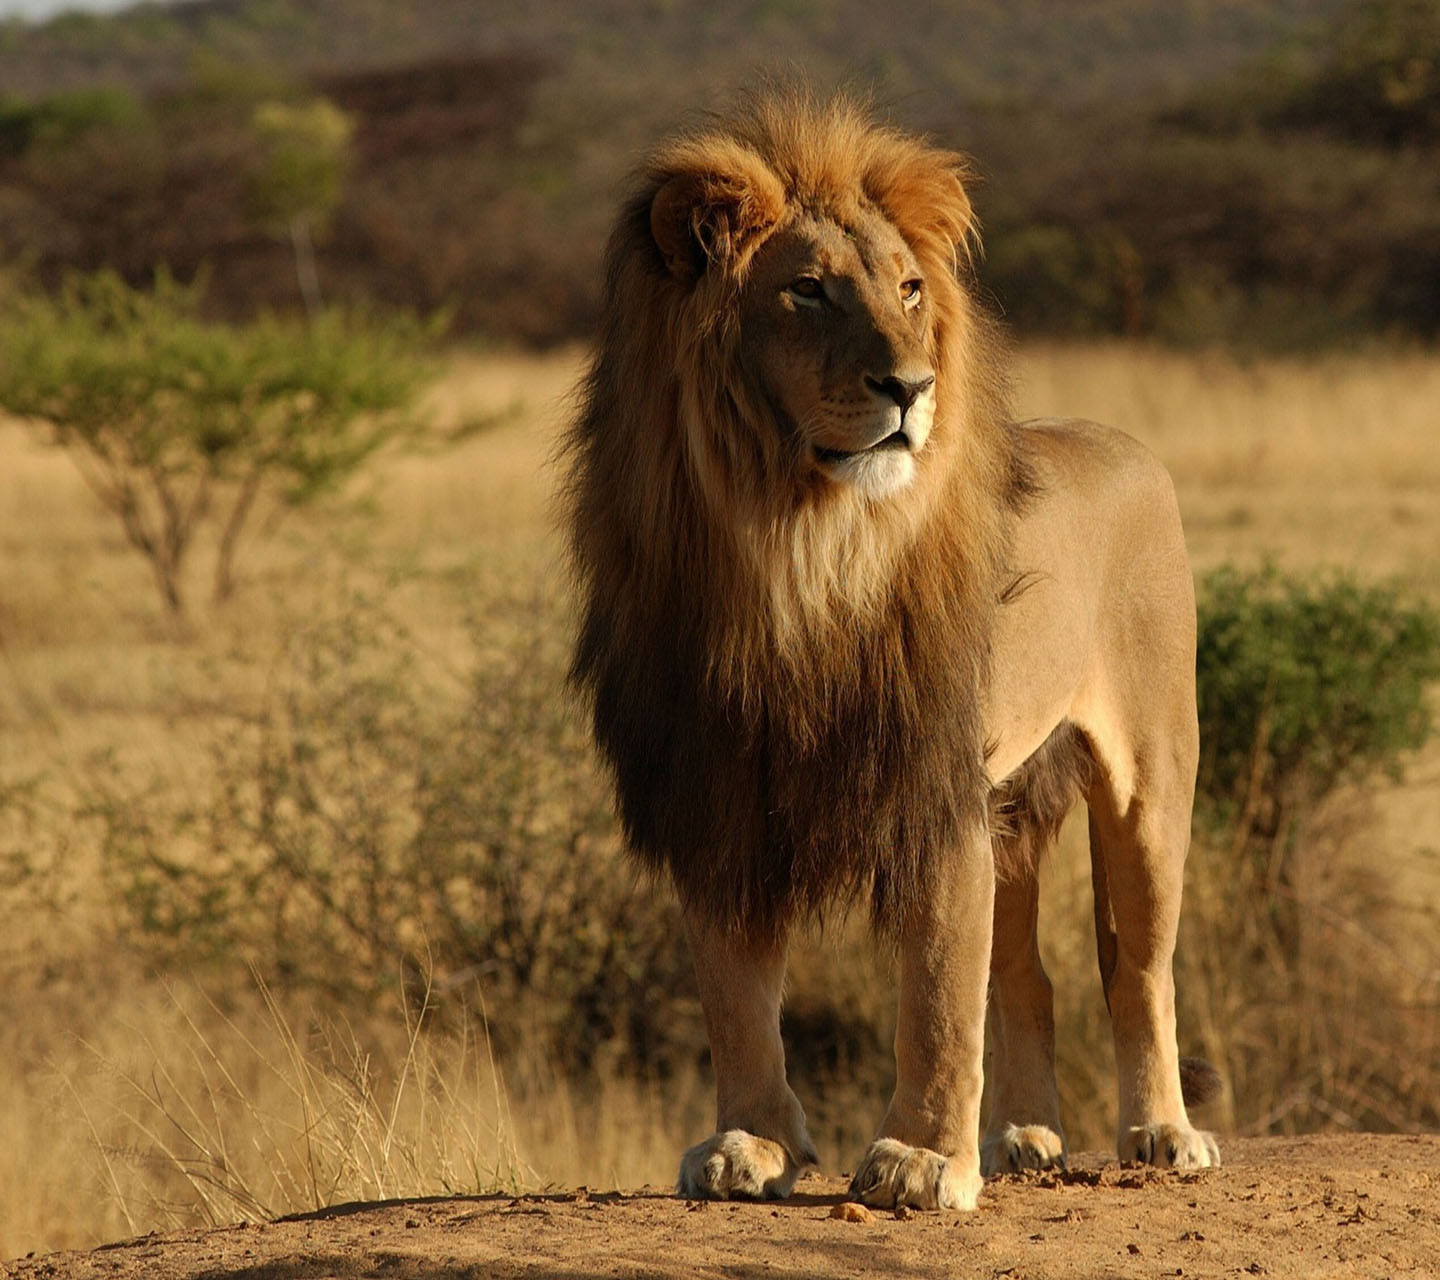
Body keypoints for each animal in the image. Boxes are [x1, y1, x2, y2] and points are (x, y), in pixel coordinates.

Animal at [563, 92, 1218, 1212]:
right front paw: (752, 1144)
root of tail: (1127, 444)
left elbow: (939, 991)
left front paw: (920, 1159)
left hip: (1151, 776)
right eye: (808, 291)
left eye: (910, 290)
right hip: (1014, 803)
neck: (796, 547)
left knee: (1138, 968)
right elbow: (736, 992)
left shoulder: (932, 783)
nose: (910, 386)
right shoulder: (717, 787)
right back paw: (1025, 1136)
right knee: (1029, 973)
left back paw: (1162, 1132)